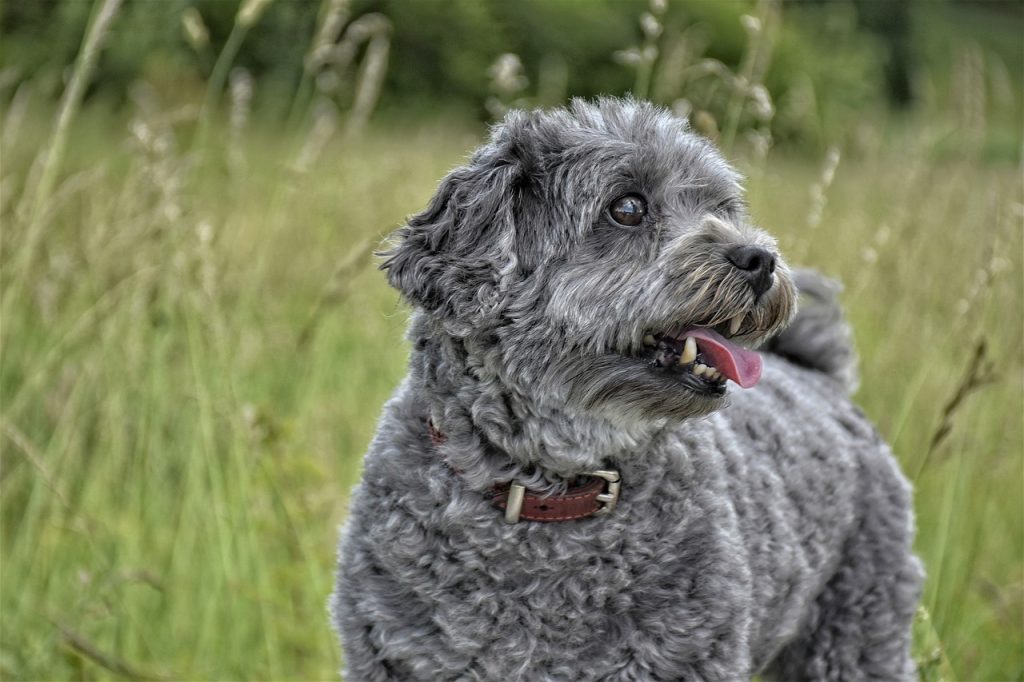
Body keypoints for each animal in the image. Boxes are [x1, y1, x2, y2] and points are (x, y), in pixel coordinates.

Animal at [331, 96, 925, 679]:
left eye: (722, 207)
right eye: (628, 208)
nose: (760, 260)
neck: (552, 494)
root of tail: (819, 377)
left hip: (859, 632)